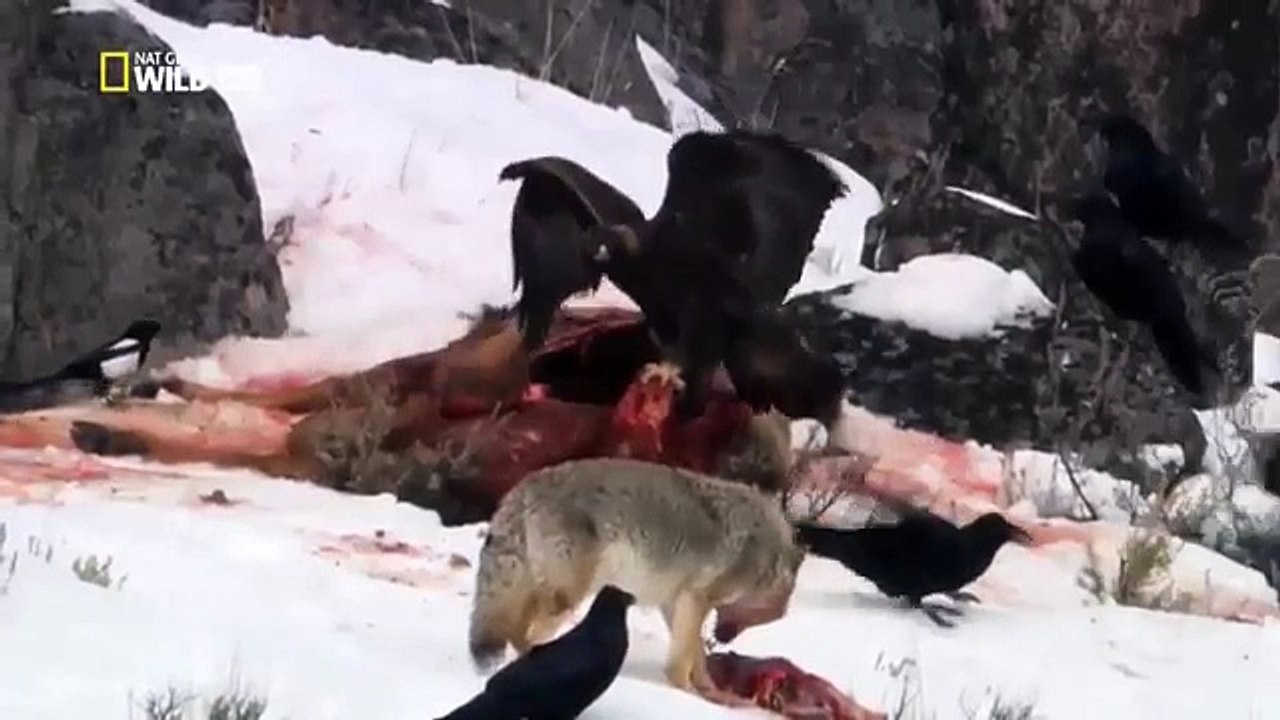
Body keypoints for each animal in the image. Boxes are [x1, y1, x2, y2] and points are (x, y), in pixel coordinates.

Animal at [467, 457, 806, 701]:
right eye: (761, 617)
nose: (723, 638)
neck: (765, 549)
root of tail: (527, 485)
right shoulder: (697, 599)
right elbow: (685, 659)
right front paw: (686, 695)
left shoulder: (677, 602)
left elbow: (695, 655)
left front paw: (709, 691)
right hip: (568, 598)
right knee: (528, 633)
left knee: (515, 630)